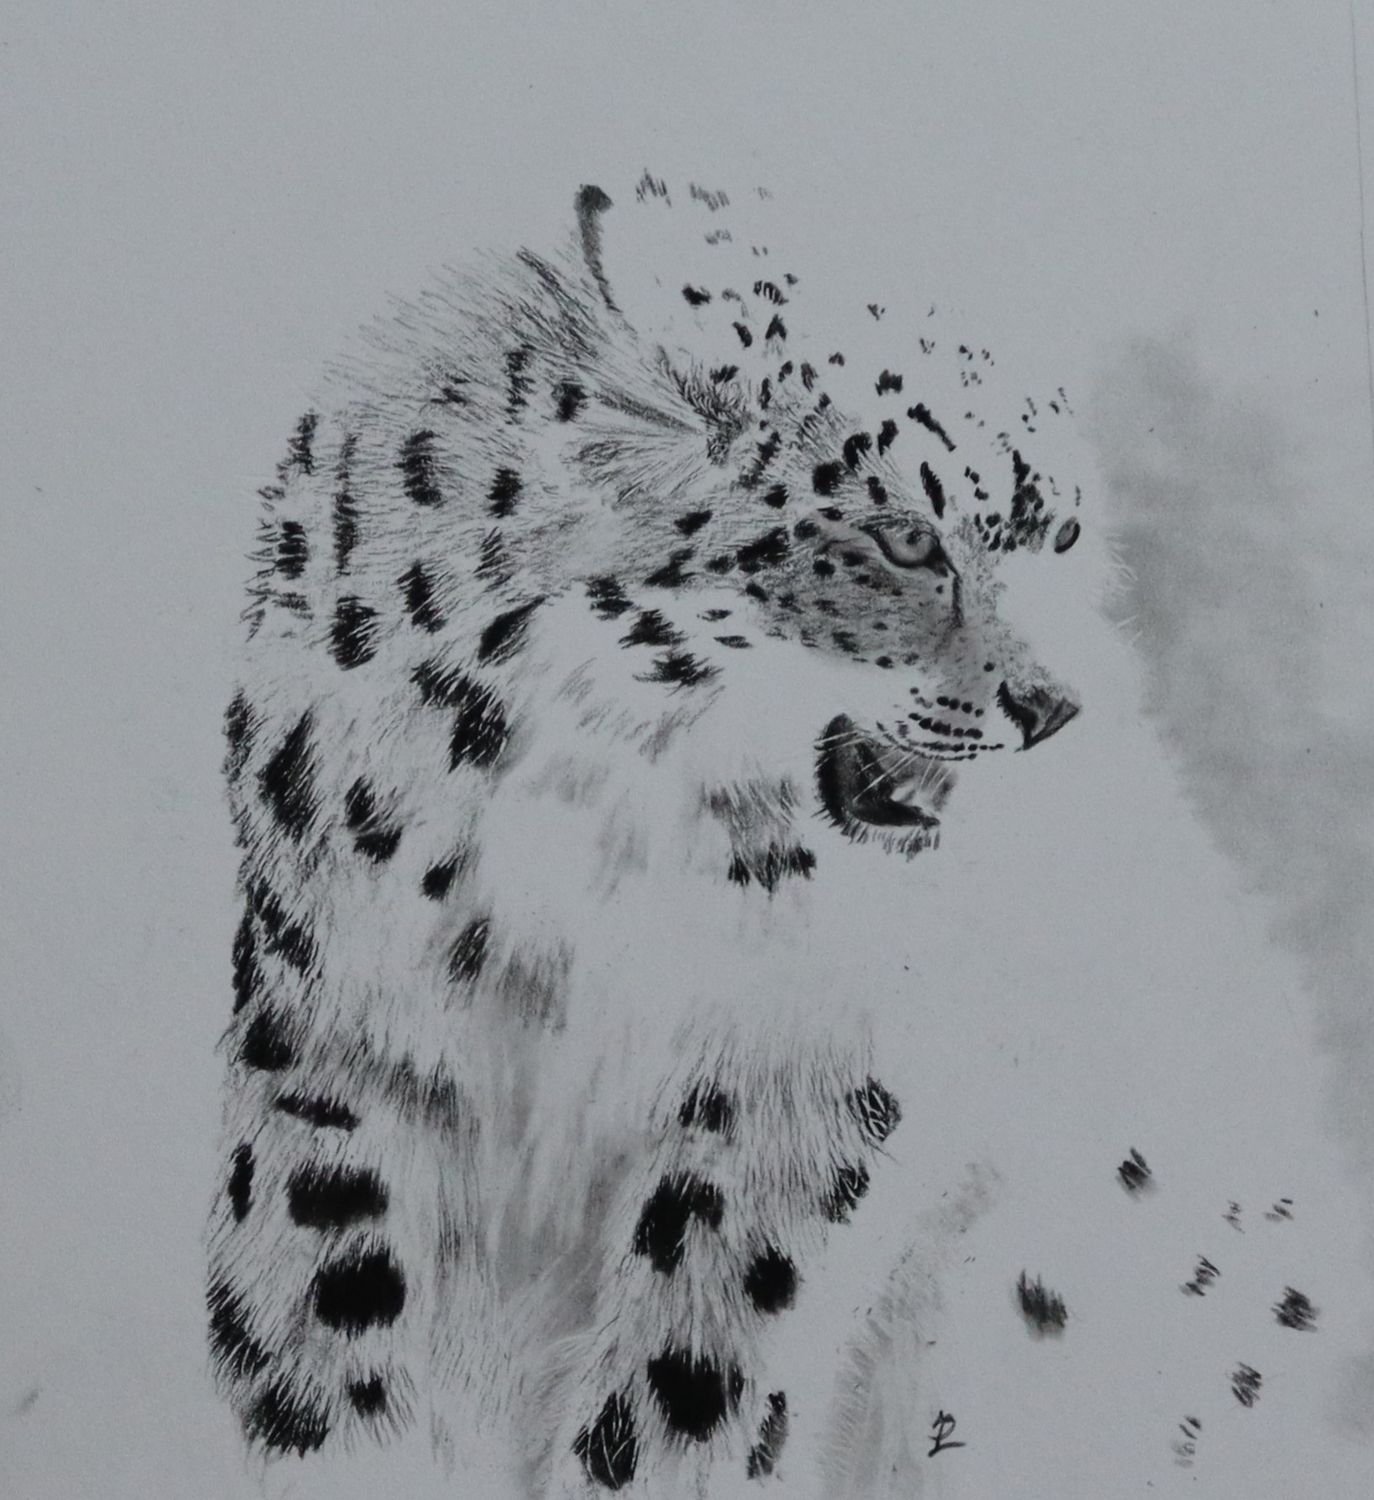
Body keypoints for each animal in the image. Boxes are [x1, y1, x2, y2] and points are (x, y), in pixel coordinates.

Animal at [208, 171, 1088, 1497]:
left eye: (1058, 536)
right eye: (907, 537)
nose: (1052, 708)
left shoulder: (800, 1057)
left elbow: (703, 1337)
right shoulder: (344, 1015)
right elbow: (323, 1279)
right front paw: (351, 1448)